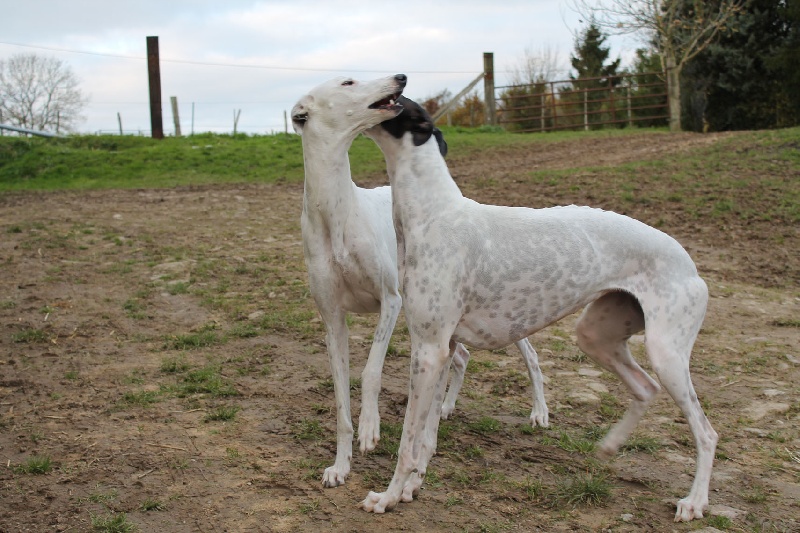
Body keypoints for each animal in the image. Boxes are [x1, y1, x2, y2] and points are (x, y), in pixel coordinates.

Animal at [290, 77, 548, 488]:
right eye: (348, 81)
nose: (400, 78)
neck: (336, 212)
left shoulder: (391, 300)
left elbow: (371, 371)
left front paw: (370, 427)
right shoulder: (332, 320)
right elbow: (341, 396)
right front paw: (340, 465)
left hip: (500, 310)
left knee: (531, 356)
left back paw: (539, 410)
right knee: (461, 356)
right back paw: (445, 406)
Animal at [362, 94, 720, 520]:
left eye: (396, 100)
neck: (434, 213)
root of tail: (691, 265)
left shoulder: (429, 350)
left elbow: (409, 441)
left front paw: (387, 496)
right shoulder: (443, 349)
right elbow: (426, 438)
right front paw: (411, 487)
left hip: (667, 353)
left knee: (706, 432)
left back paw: (694, 501)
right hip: (596, 335)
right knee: (645, 388)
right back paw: (610, 445)